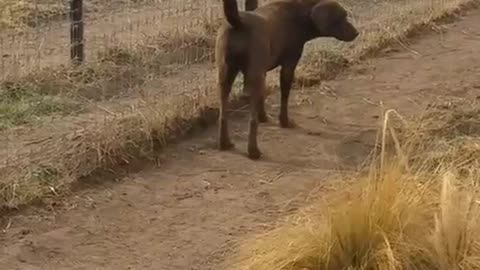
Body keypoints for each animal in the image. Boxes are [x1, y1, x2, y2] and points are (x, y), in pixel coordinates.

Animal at [216, 0, 358, 159]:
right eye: (342, 17)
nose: (356, 32)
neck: (301, 13)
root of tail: (238, 22)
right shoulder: (288, 66)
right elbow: (284, 97)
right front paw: (284, 121)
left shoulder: (263, 73)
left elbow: (262, 98)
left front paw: (263, 117)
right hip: (252, 74)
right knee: (251, 120)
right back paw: (253, 151)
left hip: (225, 75)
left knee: (223, 113)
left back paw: (225, 143)